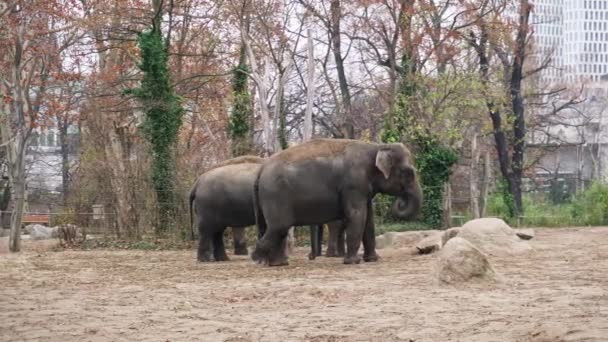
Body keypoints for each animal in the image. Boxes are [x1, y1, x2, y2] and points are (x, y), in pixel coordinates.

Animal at [252, 138, 422, 266]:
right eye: (408, 172)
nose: (400, 202)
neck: (377, 146)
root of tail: (261, 170)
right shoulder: (353, 185)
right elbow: (357, 215)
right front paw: (353, 262)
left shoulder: (363, 188)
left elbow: (369, 220)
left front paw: (373, 259)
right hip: (275, 195)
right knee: (279, 226)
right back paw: (257, 259)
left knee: (274, 228)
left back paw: (277, 263)